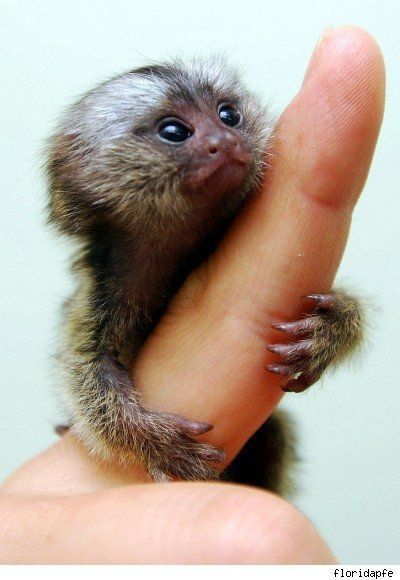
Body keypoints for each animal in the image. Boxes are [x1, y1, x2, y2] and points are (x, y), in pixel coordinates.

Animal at [47, 59, 362, 488]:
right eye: (174, 132)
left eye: (228, 116)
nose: (225, 140)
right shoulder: (99, 292)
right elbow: (86, 370)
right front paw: (154, 440)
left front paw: (332, 328)